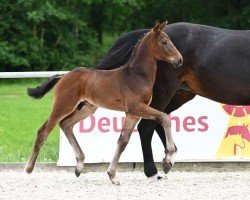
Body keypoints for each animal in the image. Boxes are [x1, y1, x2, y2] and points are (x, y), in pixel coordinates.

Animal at [25, 21, 183, 184]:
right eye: (164, 42)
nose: (180, 60)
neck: (136, 76)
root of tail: (63, 76)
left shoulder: (132, 114)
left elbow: (123, 141)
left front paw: (112, 175)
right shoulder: (137, 108)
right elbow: (164, 117)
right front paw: (168, 159)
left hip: (87, 109)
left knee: (66, 124)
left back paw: (79, 166)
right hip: (62, 106)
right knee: (43, 131)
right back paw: (28, 171)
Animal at [94, 21, 250, 178]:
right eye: (164, 42)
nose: (178, 60)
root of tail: (148, 33)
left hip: (177, 96)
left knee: (159, 120)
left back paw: (168, 159)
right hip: (163, 92)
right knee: (147, 126)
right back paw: (152, 171)